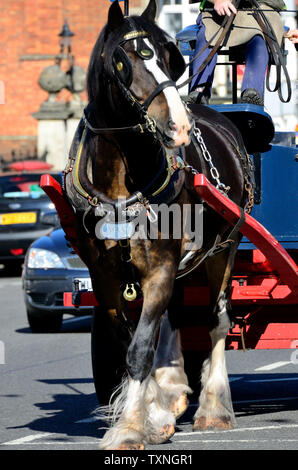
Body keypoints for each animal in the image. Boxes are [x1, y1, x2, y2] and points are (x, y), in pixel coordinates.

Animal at [64, 0, 253, 450]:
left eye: (170, 57)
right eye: (123, 60)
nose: (180, 126)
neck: (119, 179)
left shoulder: (162, 267)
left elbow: (142, 347)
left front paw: (130, 428)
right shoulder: (106, 277)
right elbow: (130, 344)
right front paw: (151, 412)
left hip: (226, 245)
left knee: (216, 320)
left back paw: (214, 408)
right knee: (177, 315)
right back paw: (172, 393)